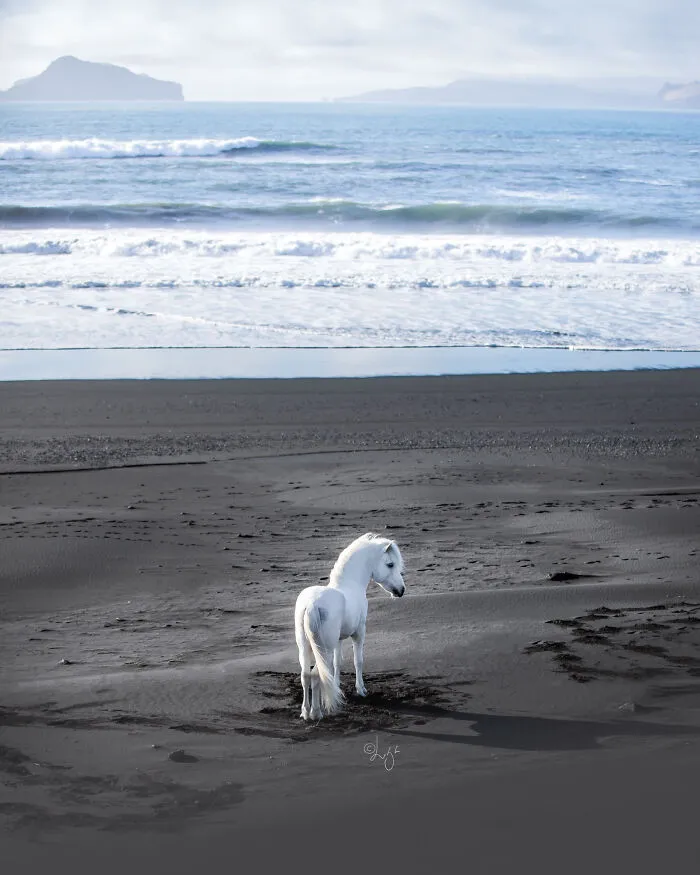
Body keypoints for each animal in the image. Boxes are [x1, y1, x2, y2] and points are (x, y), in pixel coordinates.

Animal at [294, 532, 405, 721]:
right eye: (390, 564)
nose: (401, 590)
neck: (350, 583)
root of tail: (311, 605)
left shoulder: (339, 640)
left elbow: (337, 663)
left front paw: (337, 686)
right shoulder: (359, 633)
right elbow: (358, 660)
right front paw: (361, 690)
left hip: (305, 647)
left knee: (305, 675)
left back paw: (305, 712)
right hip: (323, 649)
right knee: (316, 675)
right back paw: (316, 713)